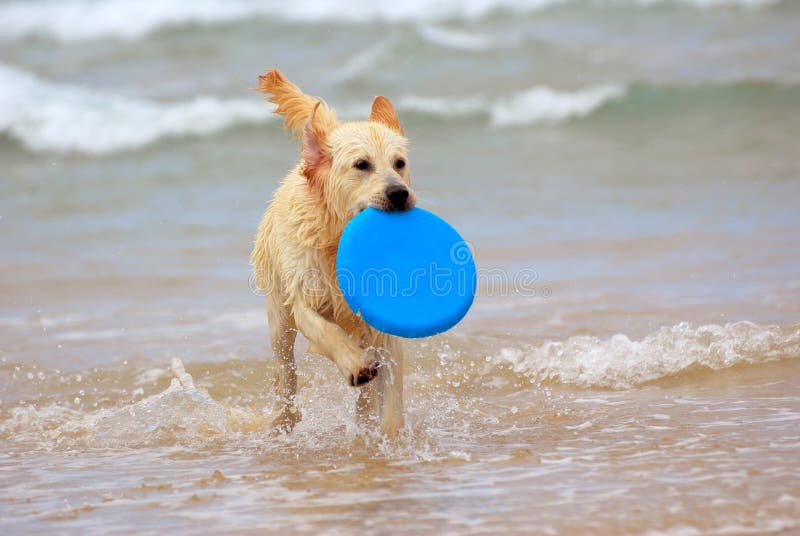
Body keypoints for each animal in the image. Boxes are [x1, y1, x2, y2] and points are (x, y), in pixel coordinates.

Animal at [250, 71, 416, 438]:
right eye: (362, 165)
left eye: (399, 163)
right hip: (278, 317)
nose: (400, 193)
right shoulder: (304, 297)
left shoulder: (384, 323)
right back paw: (284, 419)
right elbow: (324, 331)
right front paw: (354, 364)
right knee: (285, 371)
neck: (337, 240)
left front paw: (391, 436)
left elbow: (392, 392)